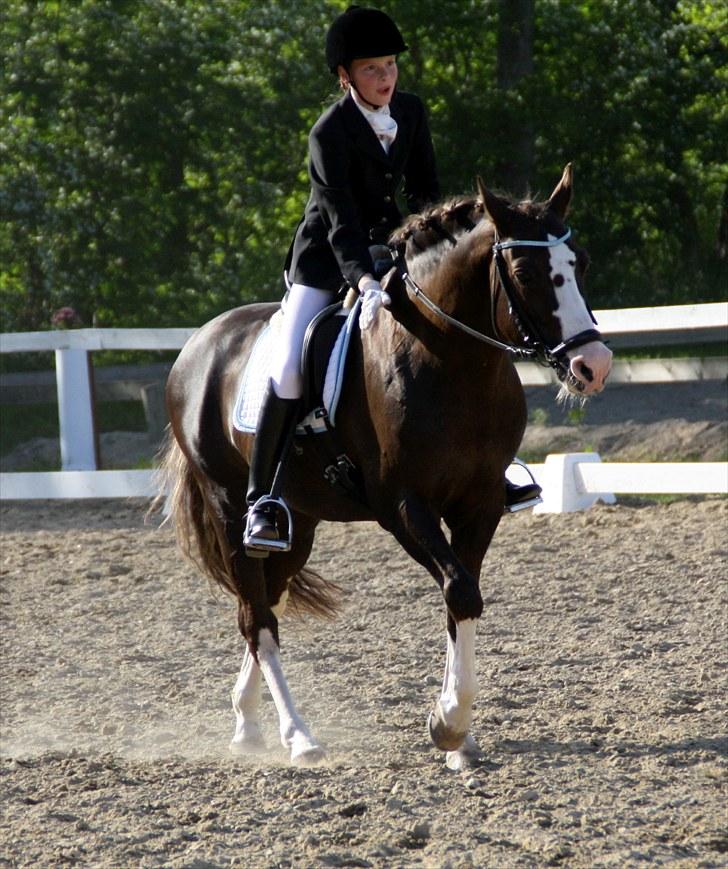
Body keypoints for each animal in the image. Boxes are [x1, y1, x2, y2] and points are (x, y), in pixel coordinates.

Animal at [158, 164, 612, 766]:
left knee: (260, 604)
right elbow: (460, 590)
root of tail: (198, 345)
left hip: (298, 523)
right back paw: (298, 736)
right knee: (258, 618)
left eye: (578, 263)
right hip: (230, 507)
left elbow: (464, 595)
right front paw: (448, 724)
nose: (593, 365)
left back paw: (247, 723)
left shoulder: (480, 503)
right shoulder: (402, 506)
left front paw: (459, 736)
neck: (450, 361)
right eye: (523, 270)